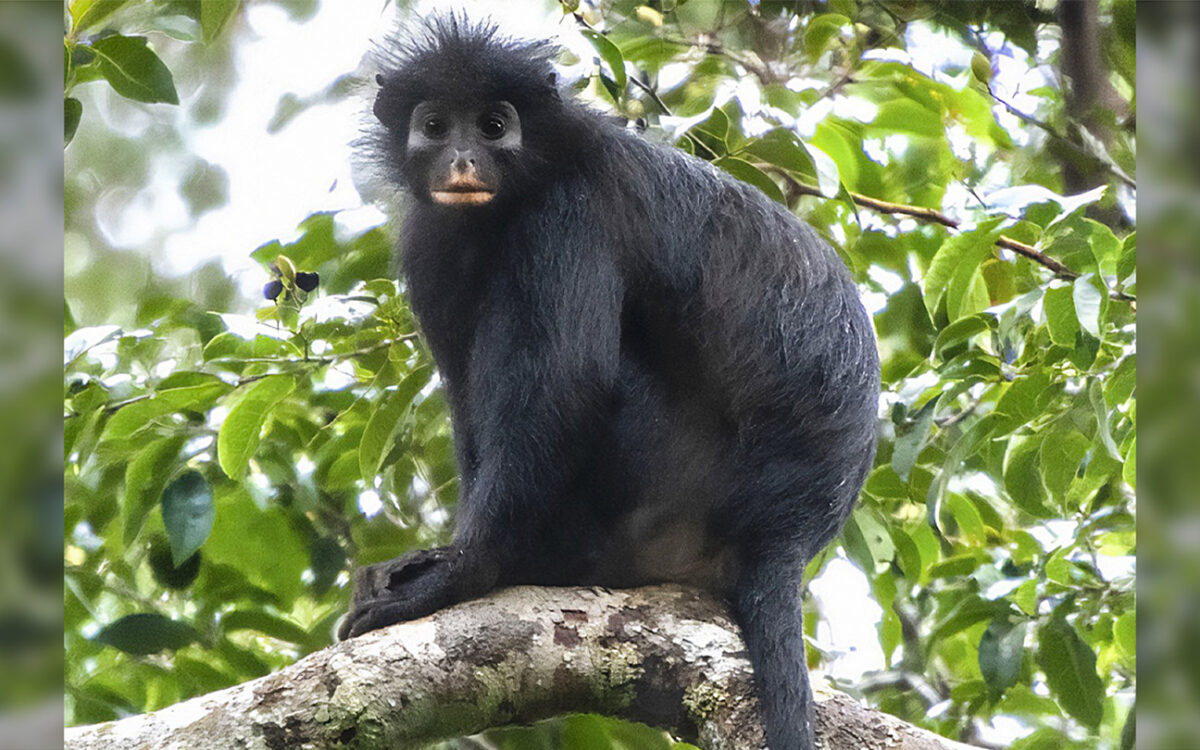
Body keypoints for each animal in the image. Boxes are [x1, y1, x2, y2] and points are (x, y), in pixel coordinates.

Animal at [340, 16, 880, 750]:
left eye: (493, 126)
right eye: (435, 125)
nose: (462, 161)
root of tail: (789, 530)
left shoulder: (568, 212)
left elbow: (570, 382)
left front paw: (463, 574)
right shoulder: (431, 241)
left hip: (665, 484)